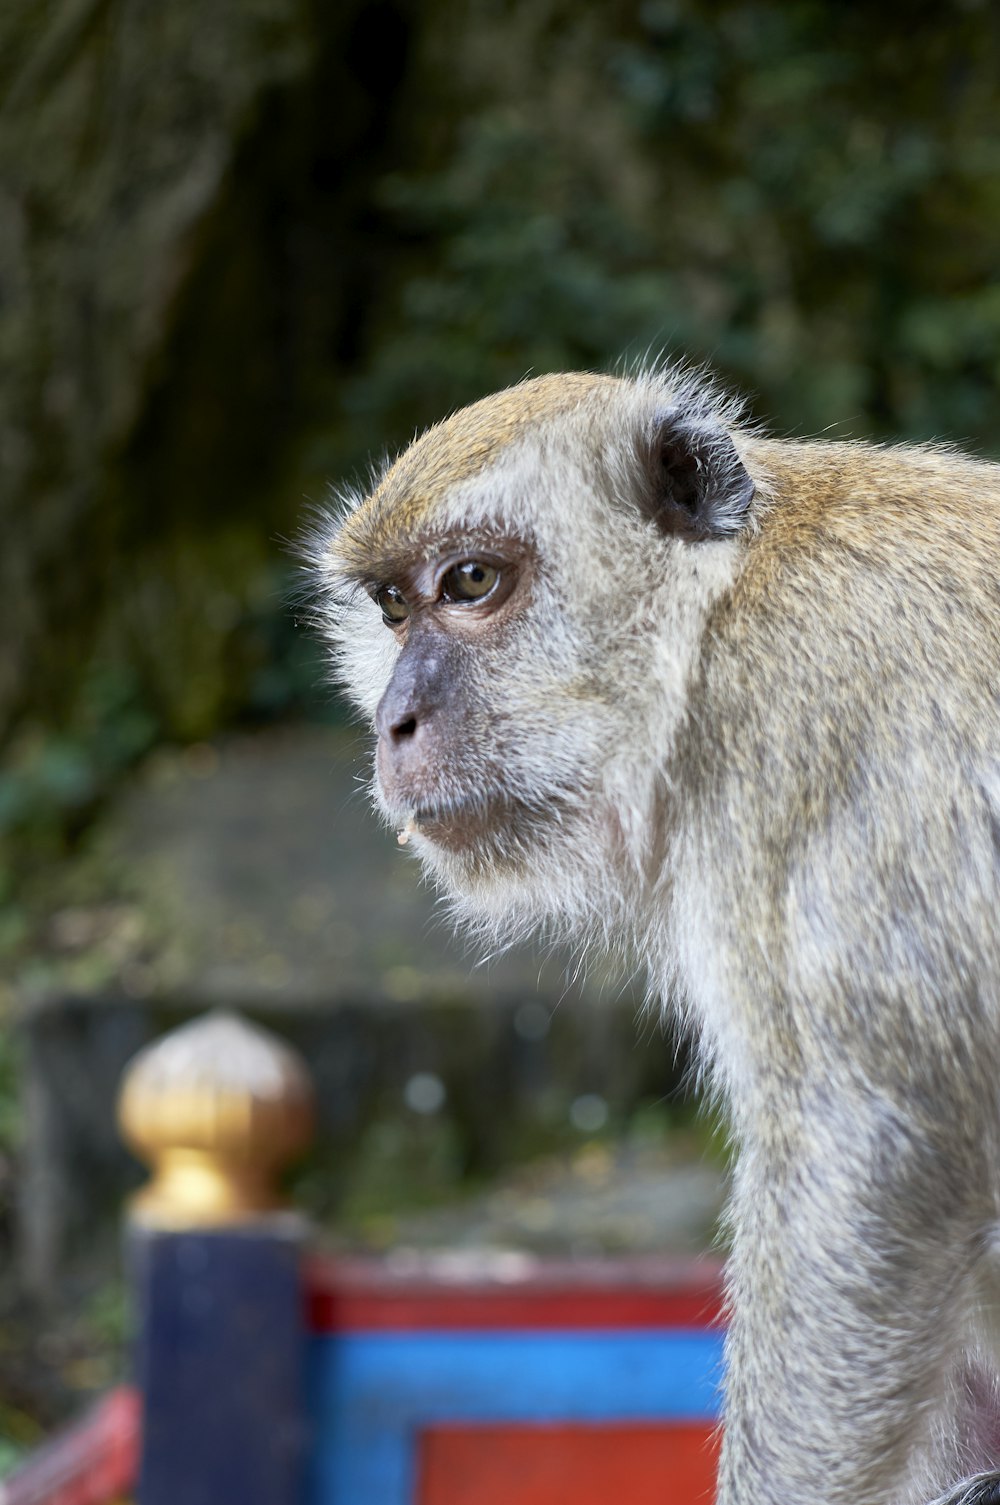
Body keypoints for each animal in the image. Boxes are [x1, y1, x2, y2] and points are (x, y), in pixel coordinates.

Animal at [313, 367, 1000, 1505]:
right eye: (394, 606)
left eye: (470, 582)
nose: (392, 722)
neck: (717, 609)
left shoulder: (803, 729)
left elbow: (880, 1151)